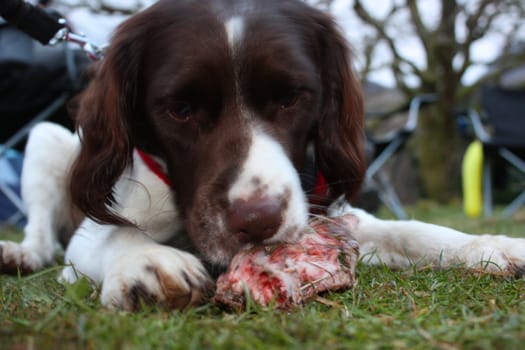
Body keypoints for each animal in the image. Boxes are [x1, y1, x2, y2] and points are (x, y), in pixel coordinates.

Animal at [1, 0, 524, 312]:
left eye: (291, 98)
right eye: (181, 109)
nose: (257, 221)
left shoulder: (328, 215)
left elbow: (411, 231)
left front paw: (491, 245)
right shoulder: (97, 228)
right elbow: (113, 237)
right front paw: (147, 261)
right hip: (45, 138)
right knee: (43, 235)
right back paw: (20, 253)